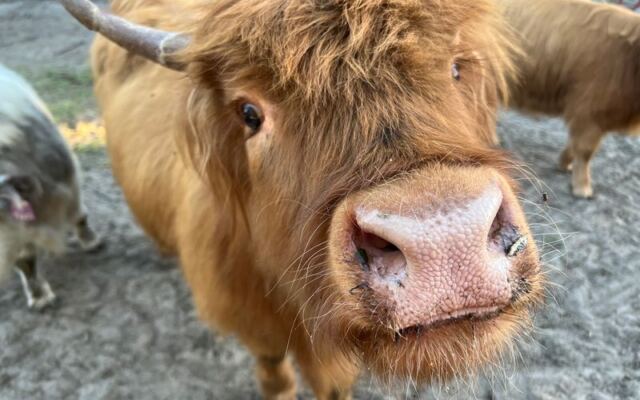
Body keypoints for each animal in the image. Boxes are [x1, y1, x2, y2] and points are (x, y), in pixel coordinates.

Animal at [0, 63, 101, 309]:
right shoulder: (10, 231)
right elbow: (24, 260)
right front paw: (39, 296)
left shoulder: (69, 185)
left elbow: (79, 216)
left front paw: (91, 241)